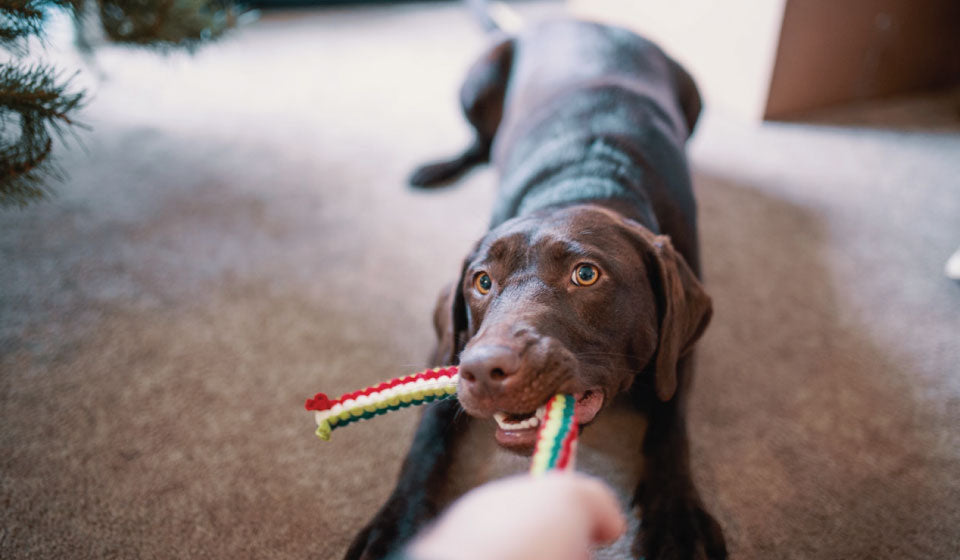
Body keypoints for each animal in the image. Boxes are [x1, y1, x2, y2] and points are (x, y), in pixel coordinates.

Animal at [344, 14, 728, 560]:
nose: (485, 371)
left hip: (694, 97)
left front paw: (676, 519)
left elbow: (670, 422)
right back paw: (437, 167)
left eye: (586, 274)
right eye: (482, 281)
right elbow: (427, 433)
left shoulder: (679, 351)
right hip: (478, 77)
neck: (585, 182)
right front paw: (395, 525)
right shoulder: (453, 346)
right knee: (480, 144)